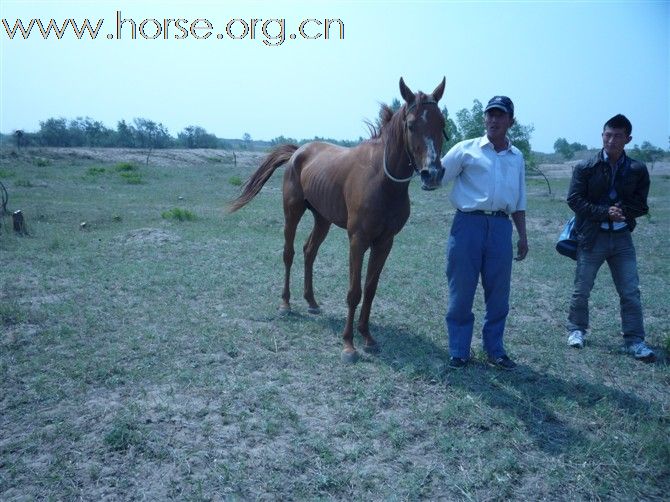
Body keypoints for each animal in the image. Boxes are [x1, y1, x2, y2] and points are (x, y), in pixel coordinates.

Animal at [230, 76, 446, 360]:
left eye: (442, 124)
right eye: (411, 125)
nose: (432, 173)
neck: (382, 181)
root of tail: (298, 152)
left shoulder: (385, 242)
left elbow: (370, 289)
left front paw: (367, 337)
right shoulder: (358, 240)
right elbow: (354, 292)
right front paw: (348, 344)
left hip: (323, 220)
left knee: (309, 251)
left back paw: (311, 301)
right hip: (292, 212)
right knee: (289, 253)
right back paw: (286, 303)